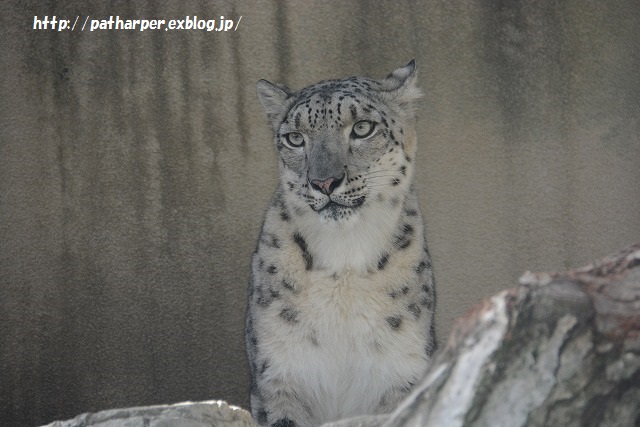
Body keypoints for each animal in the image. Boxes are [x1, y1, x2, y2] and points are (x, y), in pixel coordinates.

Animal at [245, 60, 436, 427]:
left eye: (362, 128)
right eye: (295, 138)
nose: (324, 182)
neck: (344, 258)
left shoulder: (402, 370)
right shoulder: (279, 372)